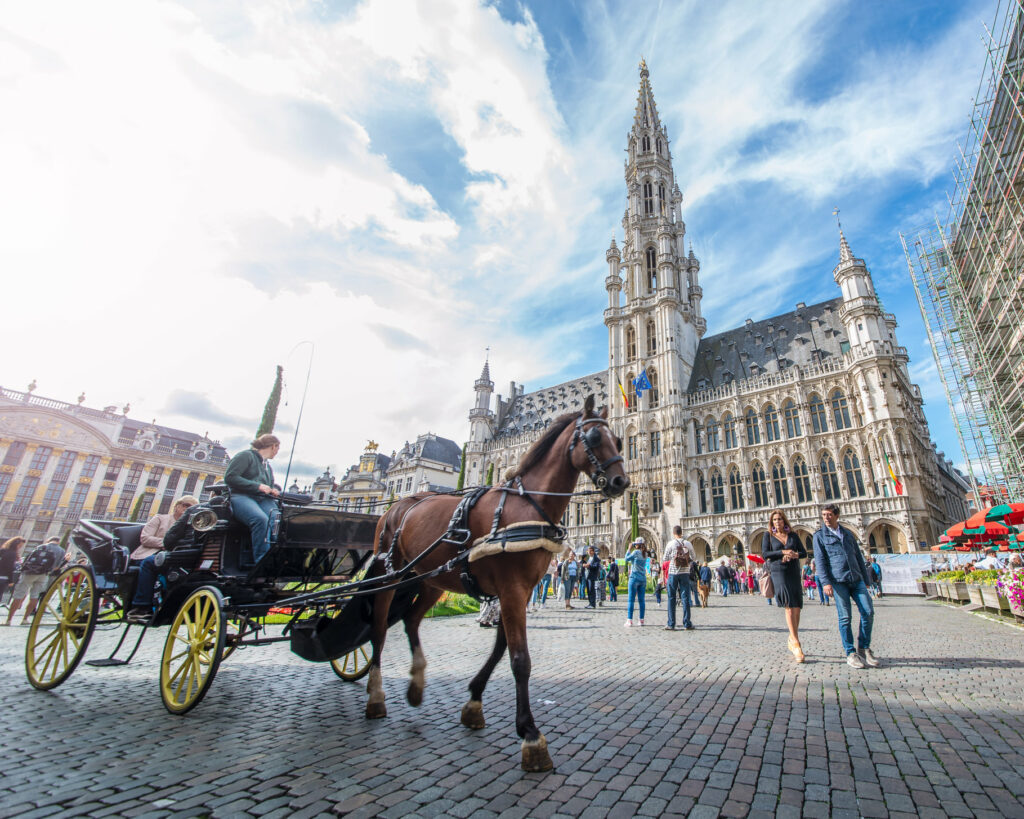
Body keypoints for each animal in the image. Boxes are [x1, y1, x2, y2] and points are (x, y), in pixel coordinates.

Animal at [364, 393, 626, 769]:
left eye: (618, 441)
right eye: (592, 438)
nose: (621, 483)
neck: (526, 507)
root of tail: (398, 504)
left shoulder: (520, 590)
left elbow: (503, 647)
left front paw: (474, 702)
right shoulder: (512, 589)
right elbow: (519, 658)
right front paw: (531, 736)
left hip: (430, 581)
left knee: (411, 621)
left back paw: (416, 685)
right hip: (391, 572)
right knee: (380, 627)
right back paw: (376, 695)